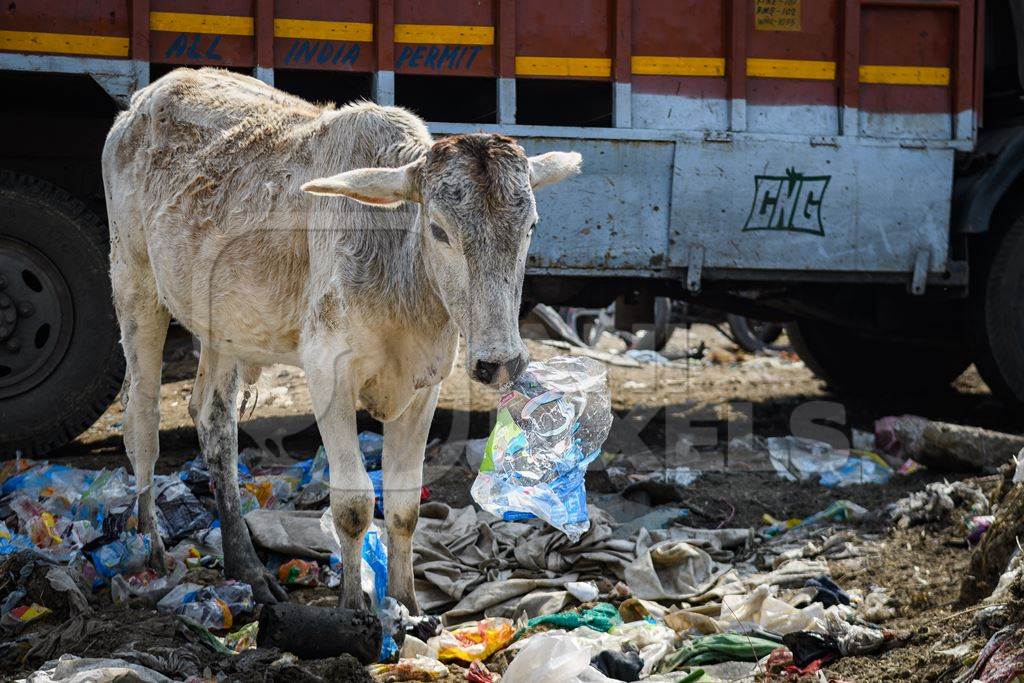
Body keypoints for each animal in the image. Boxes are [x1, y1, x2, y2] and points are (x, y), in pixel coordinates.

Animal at [103, 69, 585, 610]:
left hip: (221, 327)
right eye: (439, 230)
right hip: (134, 282)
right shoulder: (327, 374)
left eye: (530, 227)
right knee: (141, 419)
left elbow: (403, 506)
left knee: (213, 421)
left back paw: (246, 566)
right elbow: (353, 505)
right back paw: (151, 544)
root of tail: (146, 98)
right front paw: (354, 609)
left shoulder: (425, 386)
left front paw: (408, 605)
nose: (499, 362)